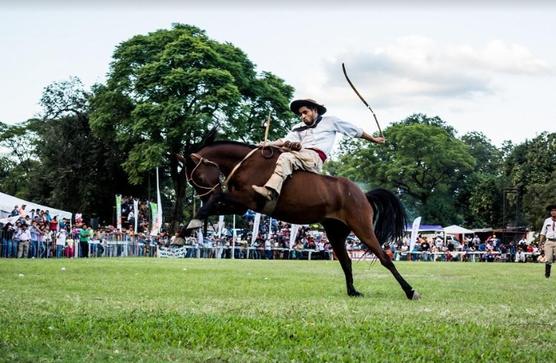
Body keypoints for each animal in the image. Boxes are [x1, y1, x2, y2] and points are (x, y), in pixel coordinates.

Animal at [180, 134, 420, 302]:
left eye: (197, 176)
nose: (203, 196)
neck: (247, 164)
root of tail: (363, 194)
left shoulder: (246, 200)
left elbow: (217, 198)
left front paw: (188, 227)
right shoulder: (240, 205)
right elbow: (215, 205)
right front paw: (187, 229)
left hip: (362, 228)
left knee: (385, 258)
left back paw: (410, 291)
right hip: (335, 233)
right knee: (346, 261)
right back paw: (353, 291)